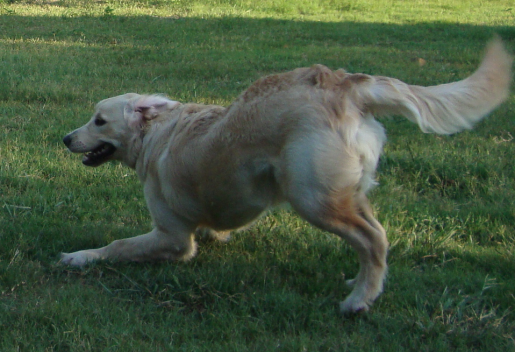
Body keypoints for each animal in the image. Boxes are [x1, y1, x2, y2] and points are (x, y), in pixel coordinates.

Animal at [61, 39, 512, 314]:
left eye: (99, 120)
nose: (65, 138)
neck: (156, 132)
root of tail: (343, 83)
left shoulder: (172, 237)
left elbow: (118, 245)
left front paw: (79, 256)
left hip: (313, 197)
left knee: (374, 238)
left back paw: (358, 300)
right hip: (343, 190)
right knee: (373, 239)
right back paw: (364, 280)